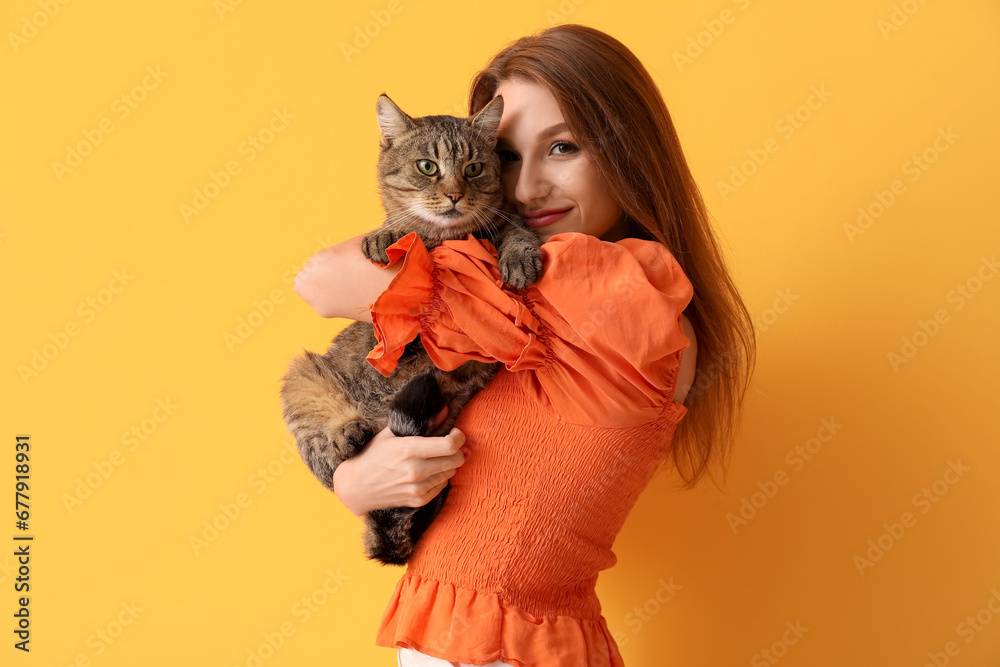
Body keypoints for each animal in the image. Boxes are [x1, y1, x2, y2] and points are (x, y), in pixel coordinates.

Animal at [278, 91, 544, 568]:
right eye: (427, 166)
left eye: (473, 168)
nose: (455, 194)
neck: (445, 239)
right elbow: (403, 233)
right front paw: (386, 235)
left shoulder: (502, 224)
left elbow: (515, 228)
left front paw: (518, 255)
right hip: (302, 374)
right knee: (326, 455)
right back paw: (347, 434)